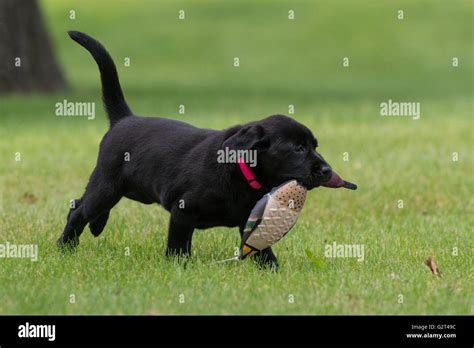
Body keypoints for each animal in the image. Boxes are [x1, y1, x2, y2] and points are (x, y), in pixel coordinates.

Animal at [58, 31, 334, 268]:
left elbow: (261, 249)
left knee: (83, 204)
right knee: (79, 209)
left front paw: (273, 270)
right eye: (298, 148)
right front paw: (179, 266)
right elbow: (179, 245)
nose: (327, 171)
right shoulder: (183, 211)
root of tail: (124, 118)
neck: (240, 172)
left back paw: (95, 227)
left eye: (314, 146)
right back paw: (65, 246)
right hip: (107, 185)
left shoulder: (249, 219)